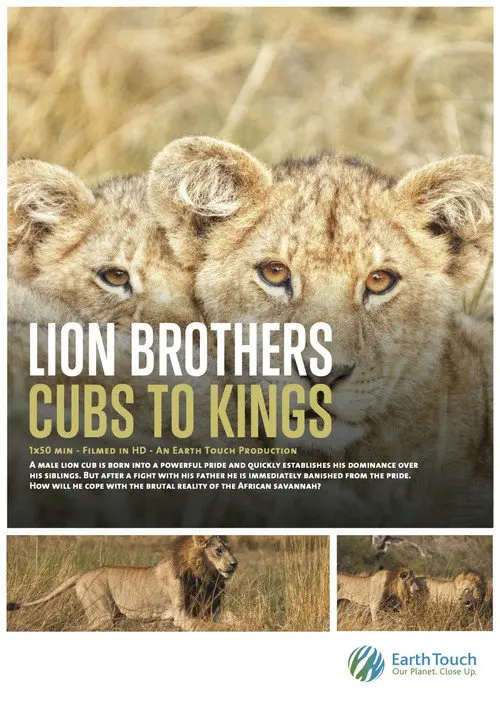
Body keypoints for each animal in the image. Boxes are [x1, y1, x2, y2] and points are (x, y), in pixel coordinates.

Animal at [7, 535, 238, 631]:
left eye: (229, 548)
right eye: (218, 550)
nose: (235, 564)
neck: (204, 575)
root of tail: (81, 574)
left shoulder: (209, 608)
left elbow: (230, 618)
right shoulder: (181, 615)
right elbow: (210, 627)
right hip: (102, 615)